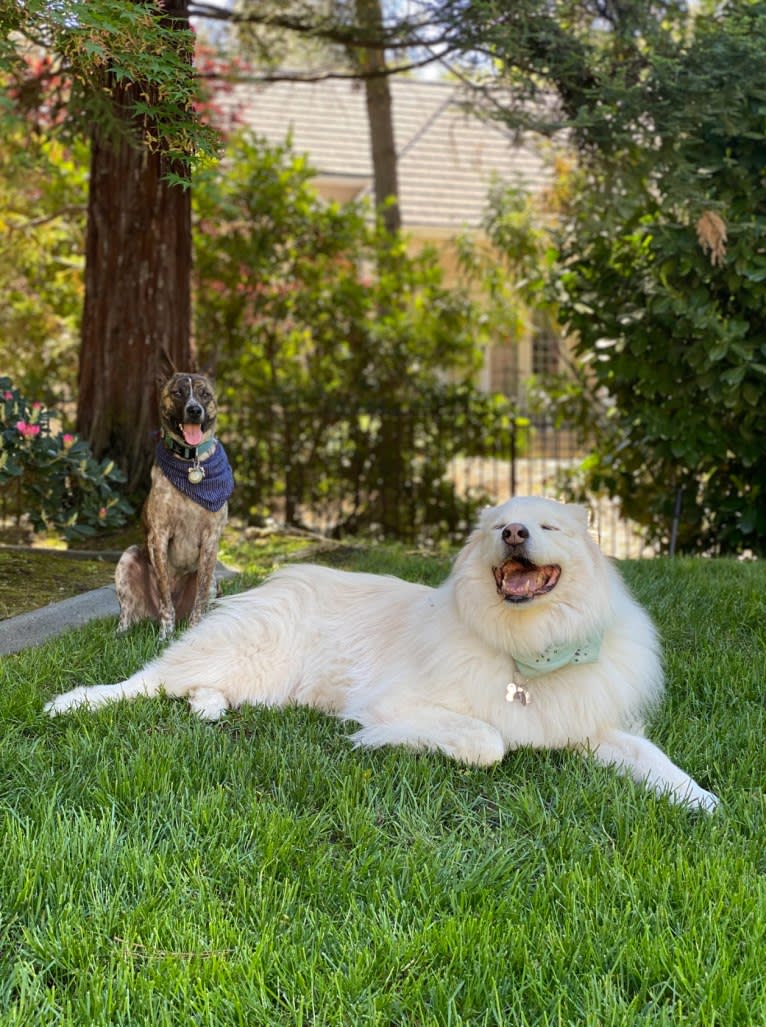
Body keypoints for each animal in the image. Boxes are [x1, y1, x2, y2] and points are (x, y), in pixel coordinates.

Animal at [46, 495, 714, 809]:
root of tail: (282, 576)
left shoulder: (594, 727)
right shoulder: (397, 704)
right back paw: (71, 703)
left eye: (548, 528)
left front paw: (703, 802)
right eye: (501, 525)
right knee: (145, 681)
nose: (513, 533)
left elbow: (656, 761)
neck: (528, 646)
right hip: (235, 655)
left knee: (195, 689)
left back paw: (209, 708)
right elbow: (489, 743)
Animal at [113, 369, 233, 640]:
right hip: (129, 558)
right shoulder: (158, 536)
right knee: (128, 612)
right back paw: (121, 633)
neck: (191, 462)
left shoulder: (211, 539)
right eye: (178, 393)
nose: (194, 410)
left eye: (204, 394)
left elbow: (200, 598)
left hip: (213, 579)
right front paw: (164, 635)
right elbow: (165, 594)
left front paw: (195, 632)